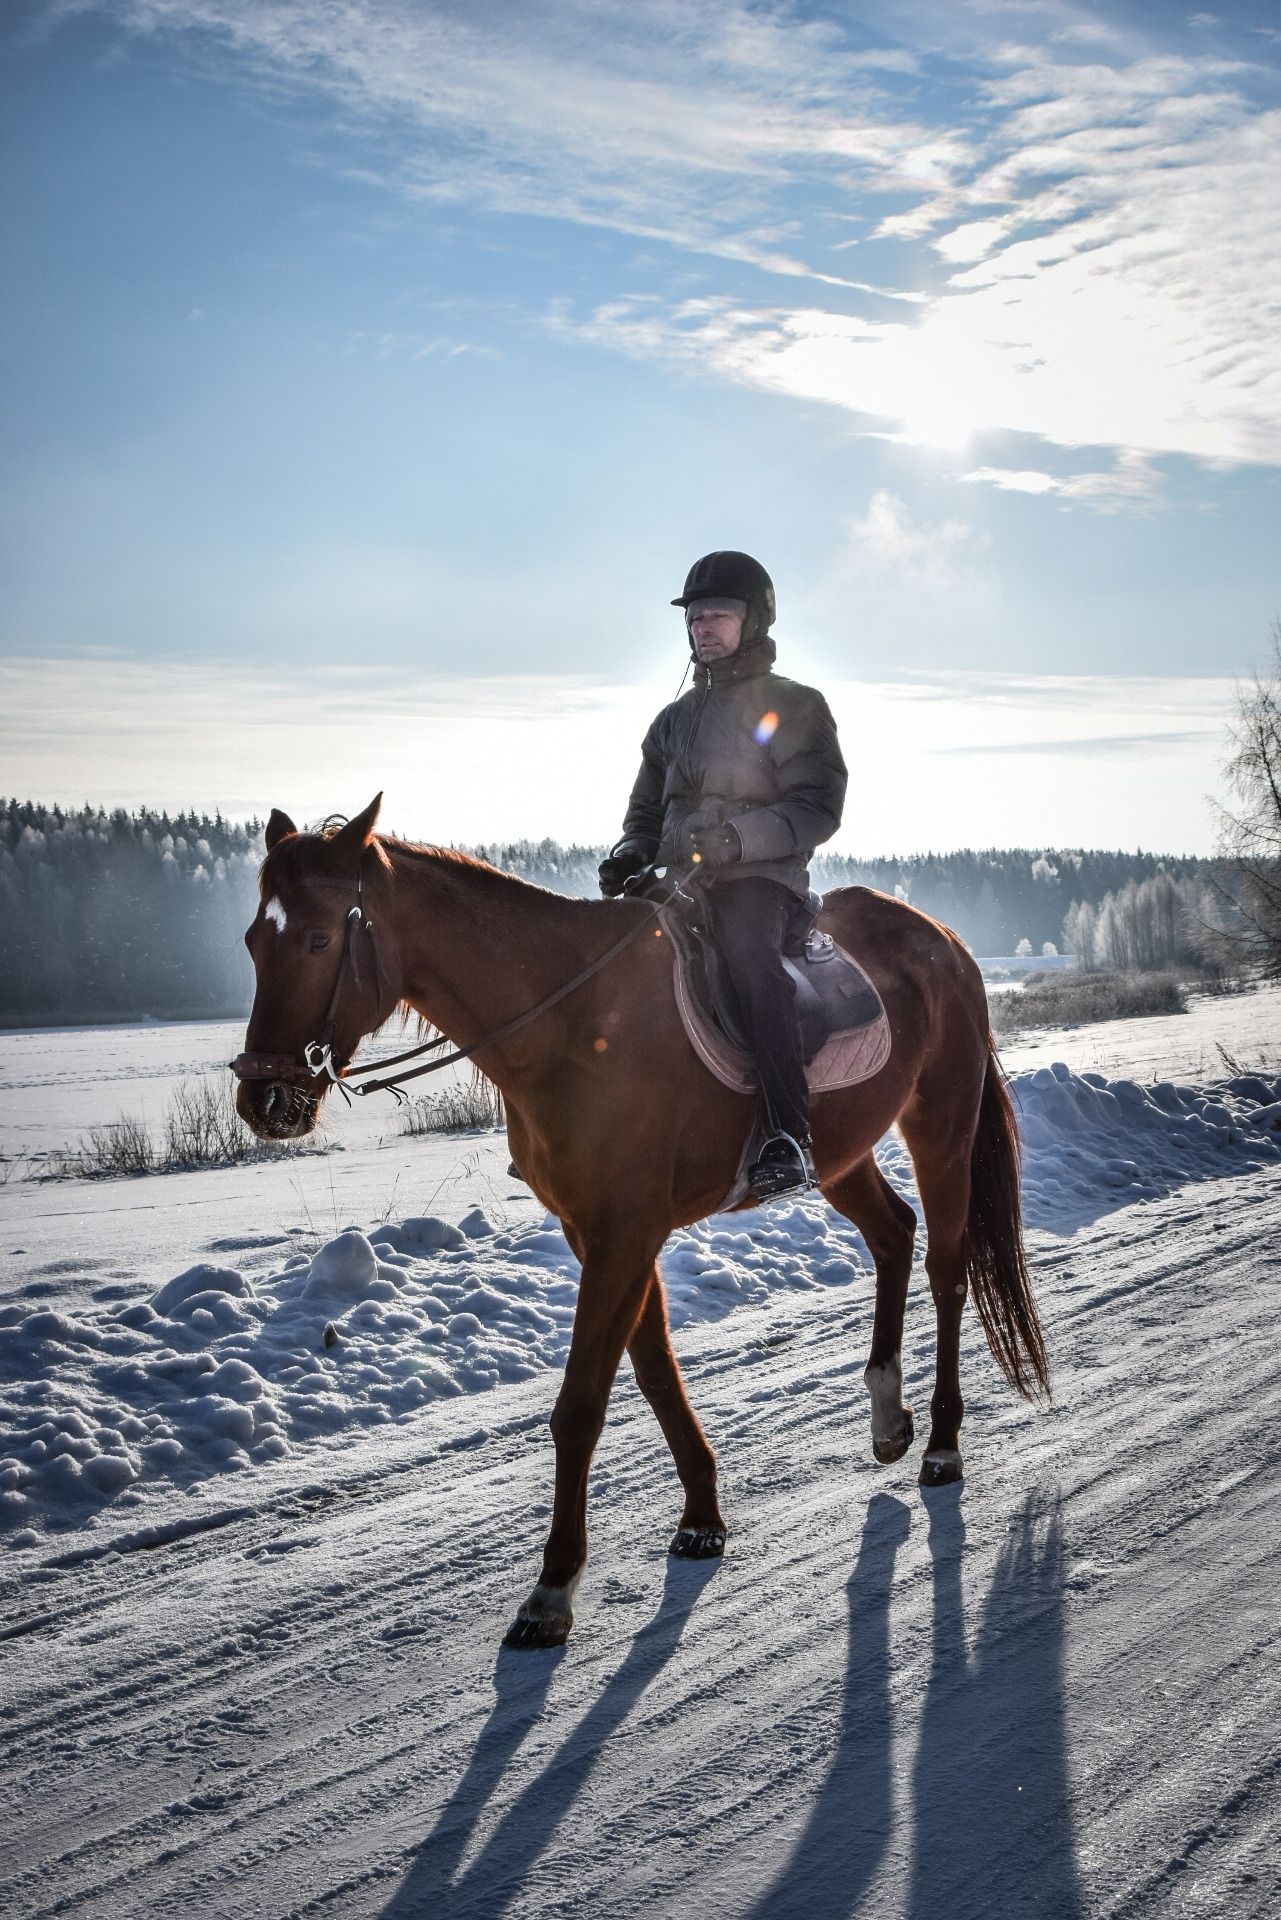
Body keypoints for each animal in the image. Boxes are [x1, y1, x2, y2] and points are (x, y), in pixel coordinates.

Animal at [235, 794, 1044, 1651]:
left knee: (948, 1270)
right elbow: (654, 1369)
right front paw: (701, 1517)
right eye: (255, 940)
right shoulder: (599, 1230)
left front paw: (553, 1589)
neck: (570, 1020)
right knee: (893, 1233)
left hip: (940, 1122)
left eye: (320, 939)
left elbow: (581, 1406)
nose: (265, 1102)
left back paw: (943, 1445)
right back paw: (888, 1417)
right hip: (840, 1153)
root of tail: (942, 937)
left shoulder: (624, 1232)